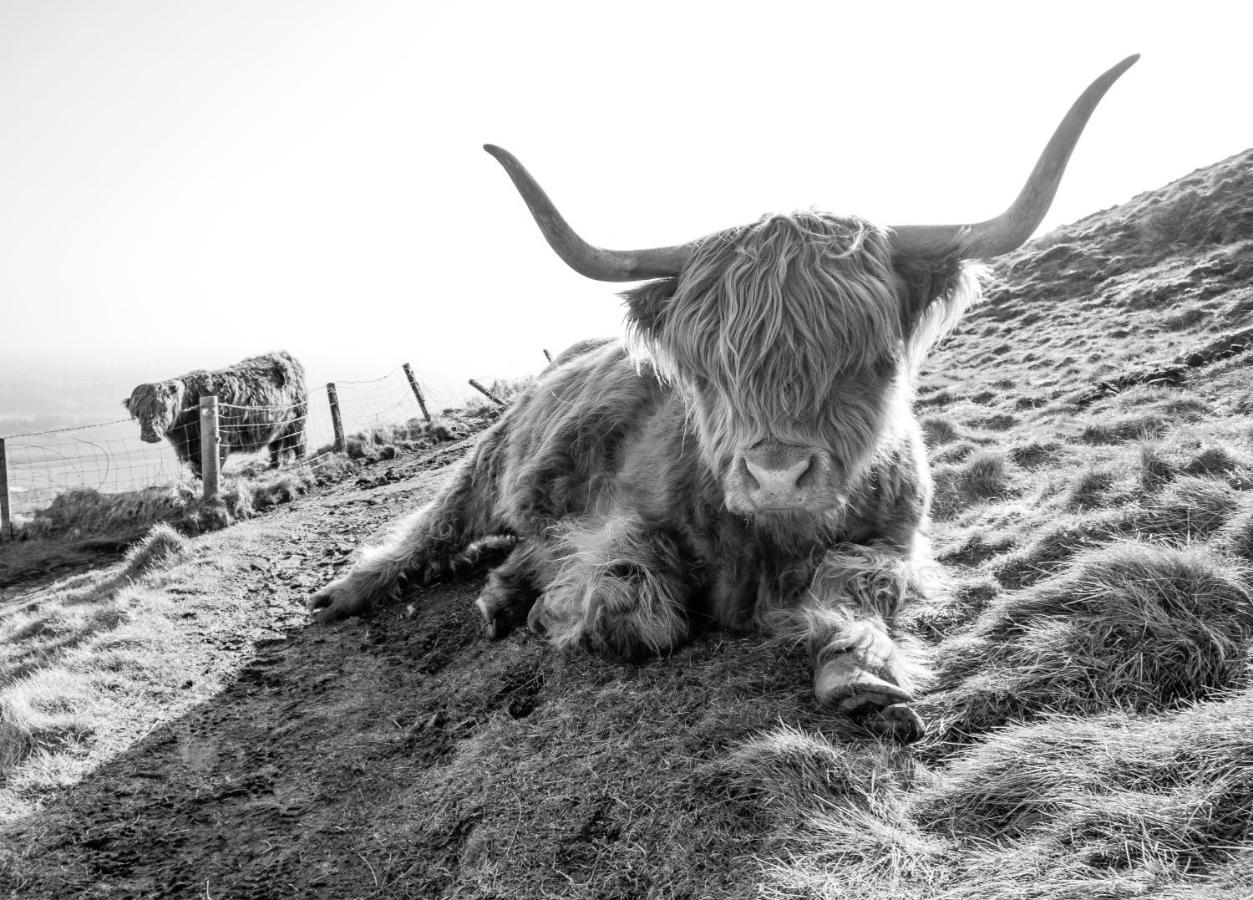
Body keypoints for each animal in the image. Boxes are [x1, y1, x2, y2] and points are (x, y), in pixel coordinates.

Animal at [124, 350, 308, 478]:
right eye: (138, 414)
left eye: (164, 409)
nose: (149, 435)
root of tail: (282, 354)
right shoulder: (191, 448)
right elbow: (198, 468)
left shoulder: (220, 439)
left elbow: (214, 463)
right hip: (277, 424)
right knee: (276, 445)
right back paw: (274, 465)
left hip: (298, 419)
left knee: (299, 441)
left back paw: (301, 461)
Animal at [310, 59, 1137, 742]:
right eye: (705, 370)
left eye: (867, 359)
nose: (774, 476)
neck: (766, 544)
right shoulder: (620, 521)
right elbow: (629, 601)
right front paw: (561, 605)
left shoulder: (899, 538)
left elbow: (855, 582)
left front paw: (862, 675)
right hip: (483, 469)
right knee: (429, 528)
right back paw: (350, 593)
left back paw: (499, 596)